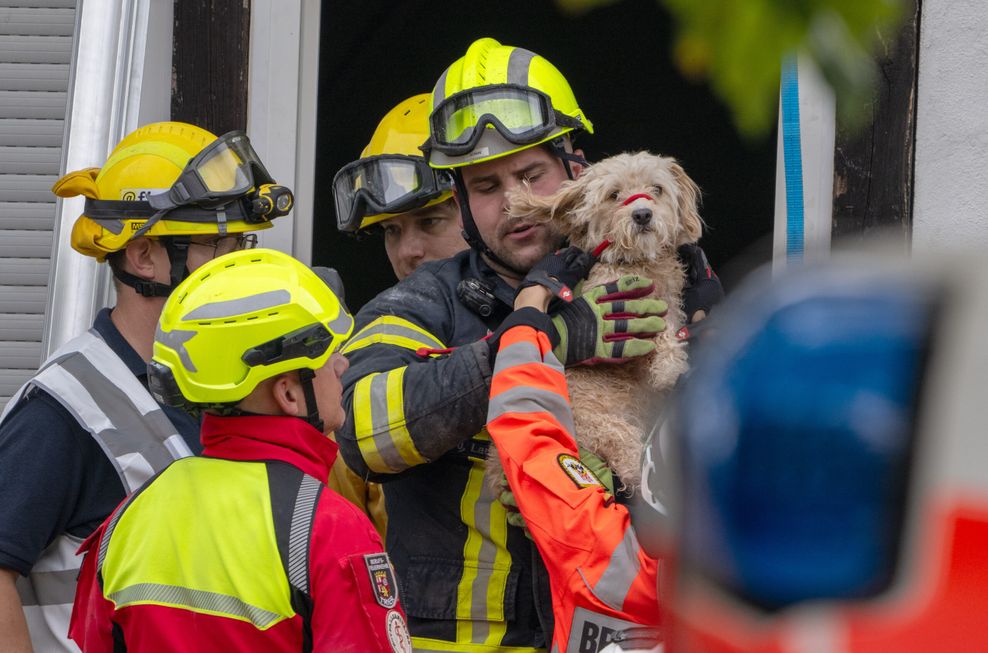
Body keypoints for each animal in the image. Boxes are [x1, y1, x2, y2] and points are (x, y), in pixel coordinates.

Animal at [490, 150, 700, 492]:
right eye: (614, 195)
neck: (634, 263)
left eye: (656, 189)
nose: (642, 214)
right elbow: (662, 333)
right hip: (611, 431)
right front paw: (669, 369)